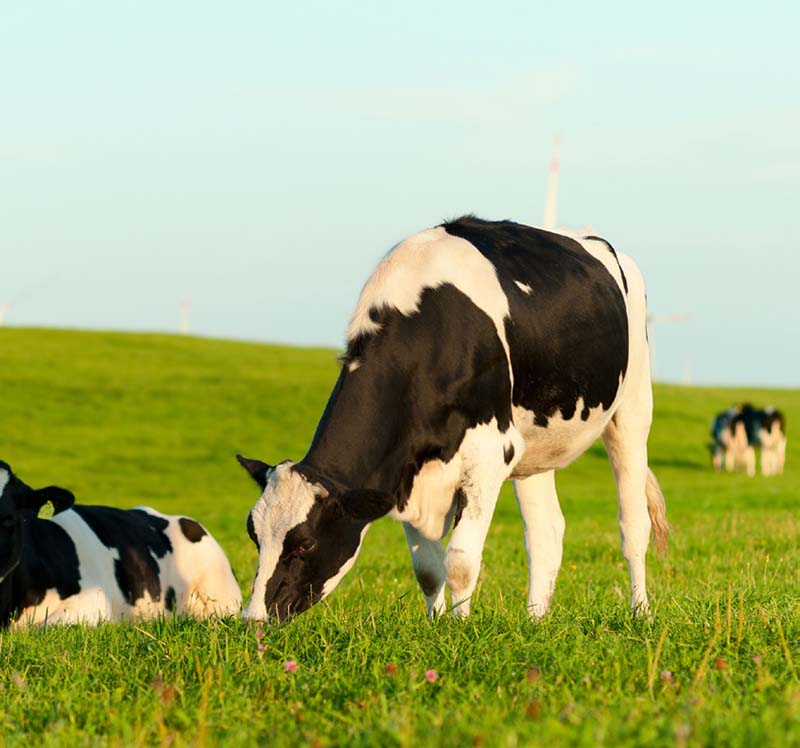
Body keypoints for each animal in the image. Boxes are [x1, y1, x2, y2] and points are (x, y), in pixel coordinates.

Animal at [238, 216, 669, 622]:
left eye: (305, 543)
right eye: (254, 535)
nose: (253, 618)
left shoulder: (490, 451)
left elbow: (460, 560)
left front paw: (461, 627)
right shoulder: (404, 465)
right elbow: (428, 568)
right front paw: (437, 623)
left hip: (632, 410)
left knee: (633, 526)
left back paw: (641, 611)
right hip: (536, 445)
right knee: (545, 531)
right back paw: (535, 620)